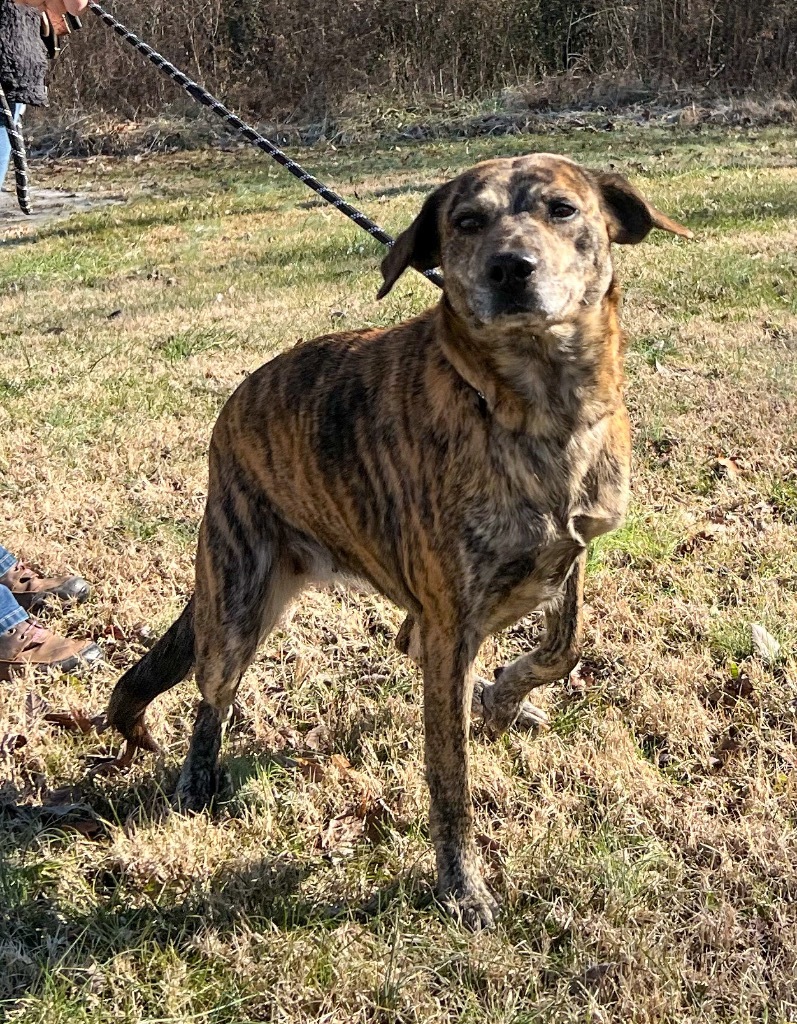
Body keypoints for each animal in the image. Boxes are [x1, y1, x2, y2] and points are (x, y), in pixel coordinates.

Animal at [107, 151, 688, 929]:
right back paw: (198, 781)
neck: (535, 408)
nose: (511, 268)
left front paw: (505, 698)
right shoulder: (453, 627)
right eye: (465, 221)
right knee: (212, 696)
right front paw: (460, 886)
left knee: (402, 640)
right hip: (237, 602)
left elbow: (563, 646)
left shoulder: (569, 555)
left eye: (562, 210)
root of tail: (232, 408)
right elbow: (450, 777)